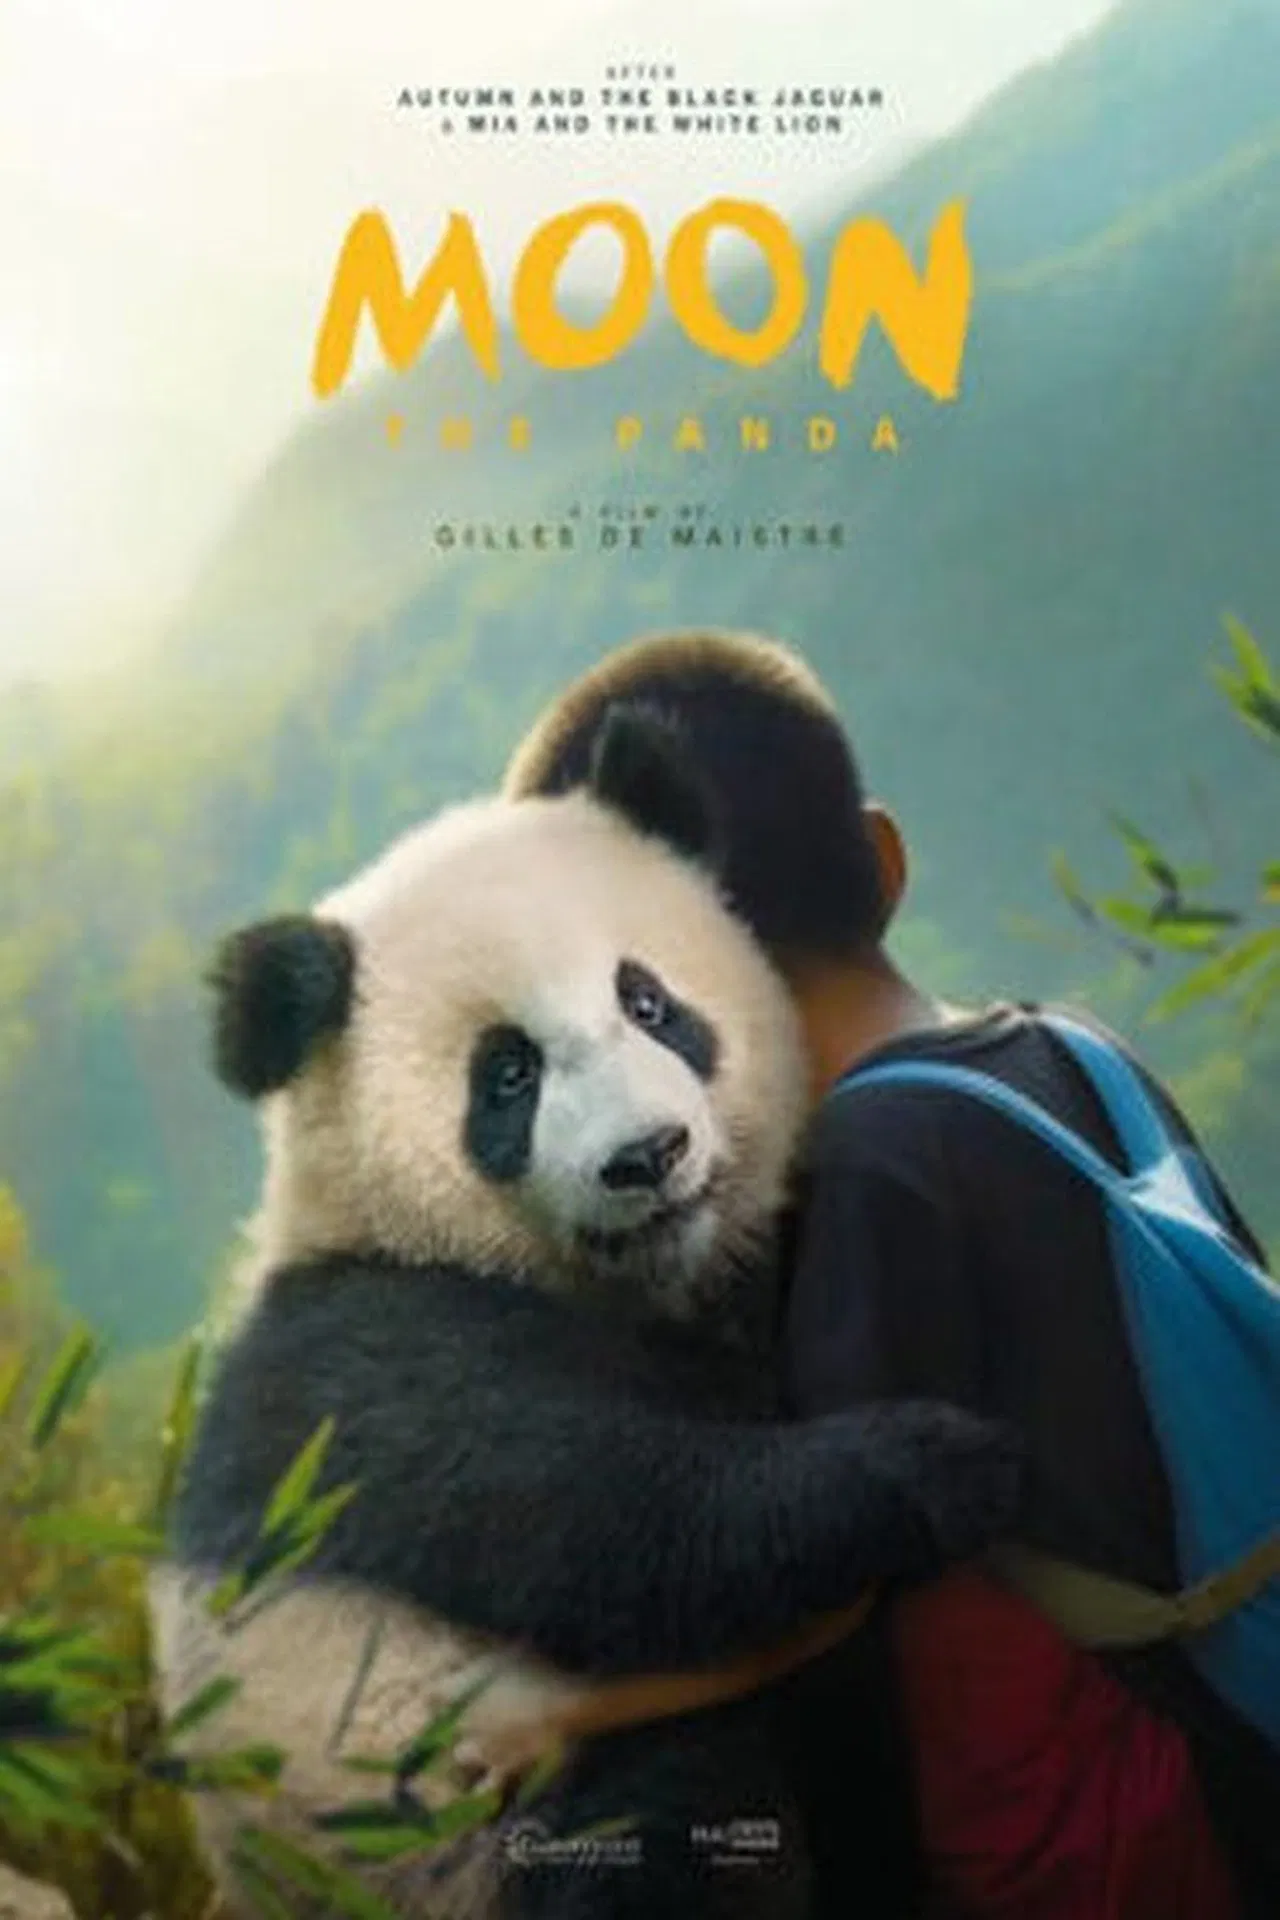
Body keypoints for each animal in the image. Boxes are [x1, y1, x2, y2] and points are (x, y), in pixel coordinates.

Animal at [149, 708, 1020, 1920]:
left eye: (647, 1002)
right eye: (507, 1075)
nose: (647, 1156)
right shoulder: (371, 1358)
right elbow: (595, 1515)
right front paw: (934, 1463)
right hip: (459, 1822)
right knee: (666, 1821)